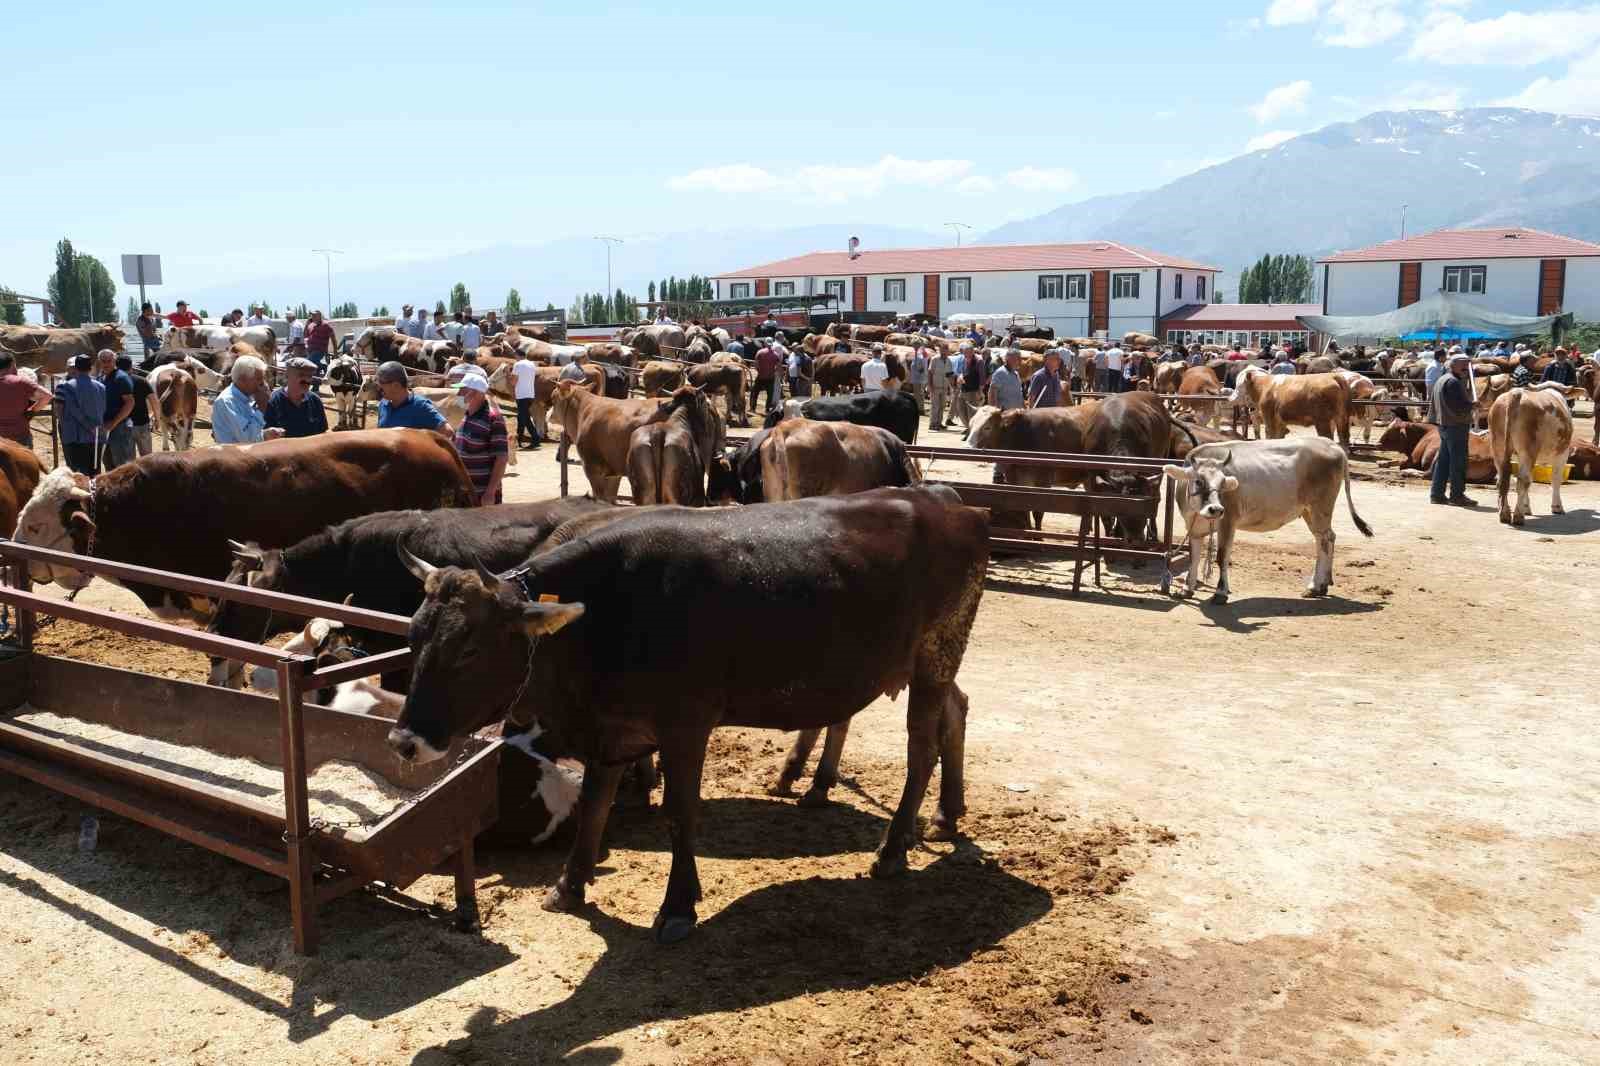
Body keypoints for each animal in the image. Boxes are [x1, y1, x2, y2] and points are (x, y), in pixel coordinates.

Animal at [1164, 435, 1376, 601]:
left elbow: (1222, 556)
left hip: (1321, 507)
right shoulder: (1193, 527)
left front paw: (1220, 593)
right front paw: (1187, 589)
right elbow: (1194, 556)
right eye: (1198, 481)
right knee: (1325, 538)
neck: (1197, 512)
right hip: (1309, 511)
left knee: (1325, 539)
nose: (1215, 509)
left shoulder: (1228, 520)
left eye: (1223, 482)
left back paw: (1315, 586)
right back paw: (1321, 585)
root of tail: (1332, 444)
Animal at [1484, 388, 1574, 524]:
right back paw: (1518, 516)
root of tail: (1516, 393)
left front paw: (1526, 507)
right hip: (1528, 449)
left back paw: (1505, 513)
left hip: (1497, 446)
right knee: (1523, 480)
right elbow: (1556, 479)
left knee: (1503, 479)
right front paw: (1557, 507)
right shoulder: (1563, 452)